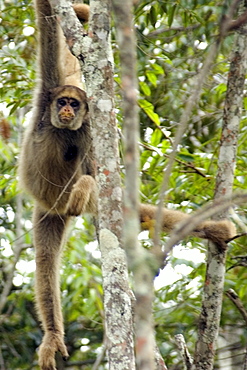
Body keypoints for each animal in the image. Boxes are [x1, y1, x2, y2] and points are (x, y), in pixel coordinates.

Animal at [18, 1, 236, 368]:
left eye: (74, 104)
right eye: (63, 102)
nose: (67, 110)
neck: (62, 128)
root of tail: (53, 205)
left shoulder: (87, 129)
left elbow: (97, 176)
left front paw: (86, 186)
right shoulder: (48, 94)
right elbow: (47, 23)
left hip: (59, 208)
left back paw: (215, 230)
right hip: (47, 213)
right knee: (45, 263)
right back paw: (53, 335)